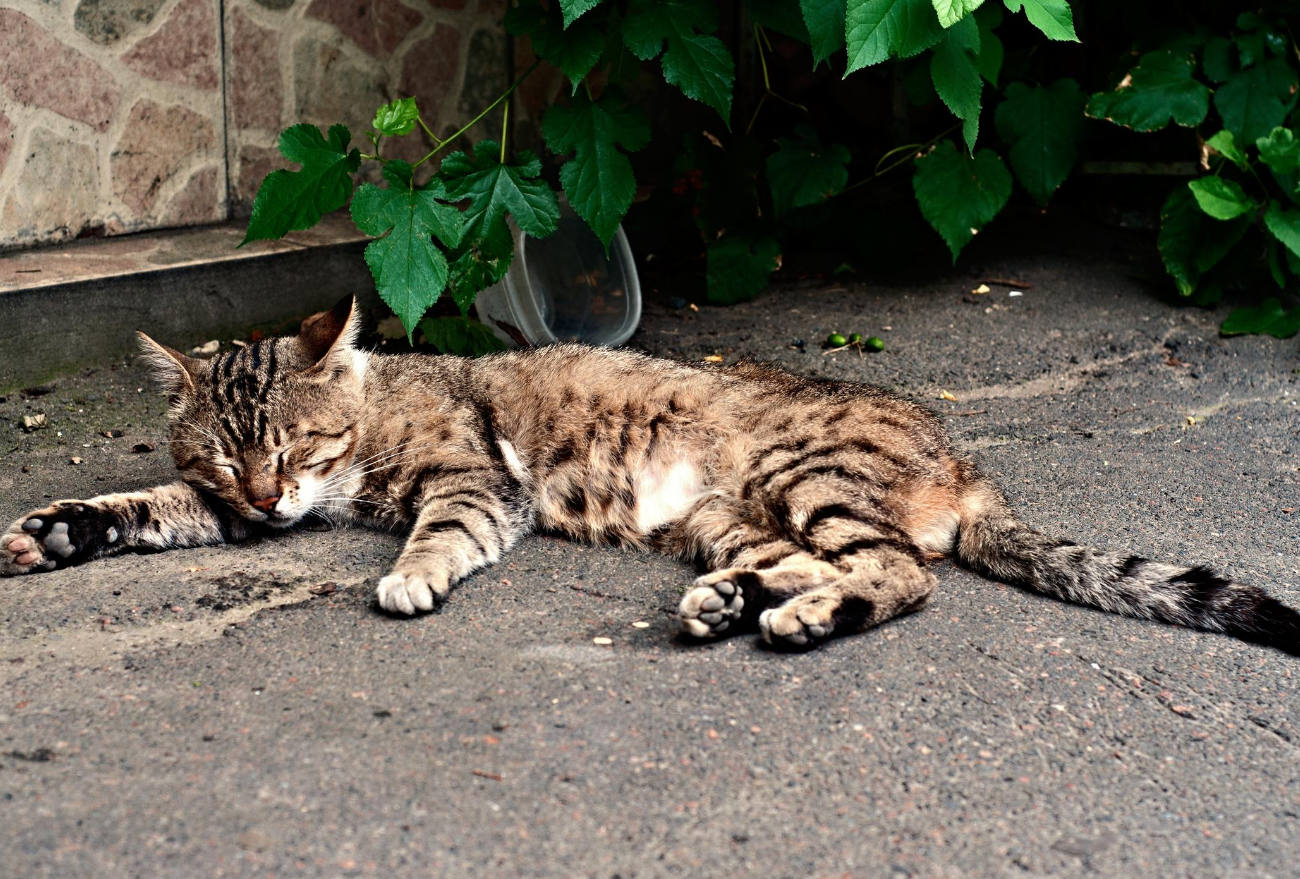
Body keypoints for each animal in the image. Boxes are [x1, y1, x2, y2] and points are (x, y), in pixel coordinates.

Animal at [2, 300, 1300, 652]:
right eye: (228, 456)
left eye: (291, 445)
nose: (269, 499)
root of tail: (963, 460)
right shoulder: (212, 510)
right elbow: (135, 510)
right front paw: (54, 531)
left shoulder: (473, 481)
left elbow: (438, 533)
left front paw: (410, 577)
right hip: (734, 520)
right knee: (820, 566)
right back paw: (739, 604)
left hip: (806, 476)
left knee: (899, 575)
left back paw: (799, 618)